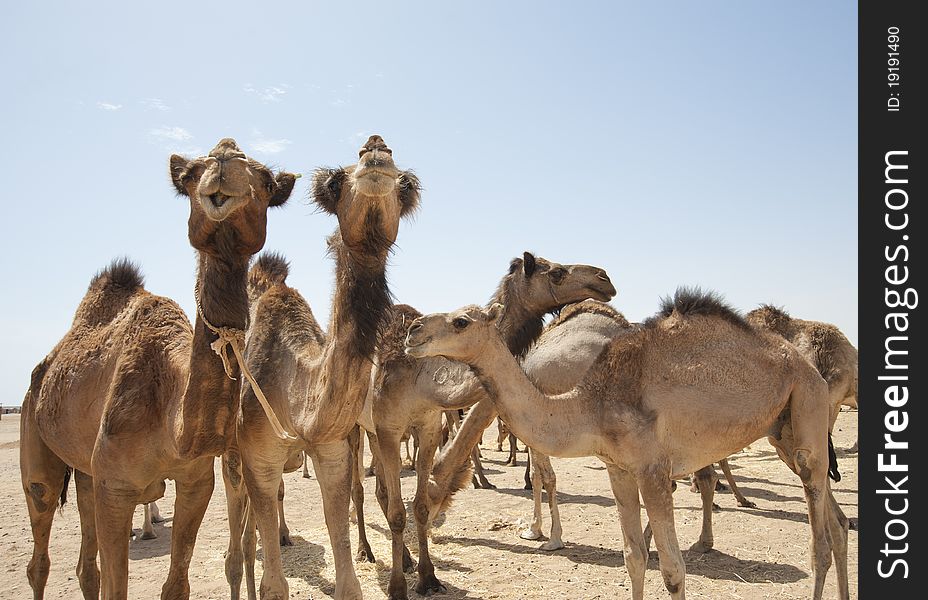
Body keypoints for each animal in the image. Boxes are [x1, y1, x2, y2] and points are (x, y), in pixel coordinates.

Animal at [20, 139, 296, 600]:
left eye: (268, 182)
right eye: (190, 175)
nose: (225, 162)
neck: (170, 417)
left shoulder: (195, 482)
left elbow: (176, 584)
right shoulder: (115, 489)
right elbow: (117, 587)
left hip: (85, 471)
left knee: (85, 567)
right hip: (35, 437)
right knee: (39, 546)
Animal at [221, 135, 416, 600]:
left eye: (405, 186)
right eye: (334, 182)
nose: (376, 148)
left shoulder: (331, 452)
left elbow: (348, 581)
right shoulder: (259, 459)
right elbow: (275, 586)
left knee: (252, 533)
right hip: (230, 459)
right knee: (237, 544)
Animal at [360, 254, 616, 600]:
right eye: (557, 273)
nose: (605, 279)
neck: (420, 381)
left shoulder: (428, 426)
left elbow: (420, 506)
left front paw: (428, 578)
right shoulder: (389, 428)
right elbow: (400, 512)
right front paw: (398, 587)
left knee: (382, 492)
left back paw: (405, 559)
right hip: (358, 428)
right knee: (364, 490)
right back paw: (366, 552)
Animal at [406, 290, 848, 600]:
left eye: (461, 321)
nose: (413, 331)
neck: (591, 404)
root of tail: (805, 365)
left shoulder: (653, 470)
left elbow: (672, 570)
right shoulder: (617, 468)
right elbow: (633, 558)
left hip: (808, 406)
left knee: (820, 542)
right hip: (784, 431)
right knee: (838, 522)